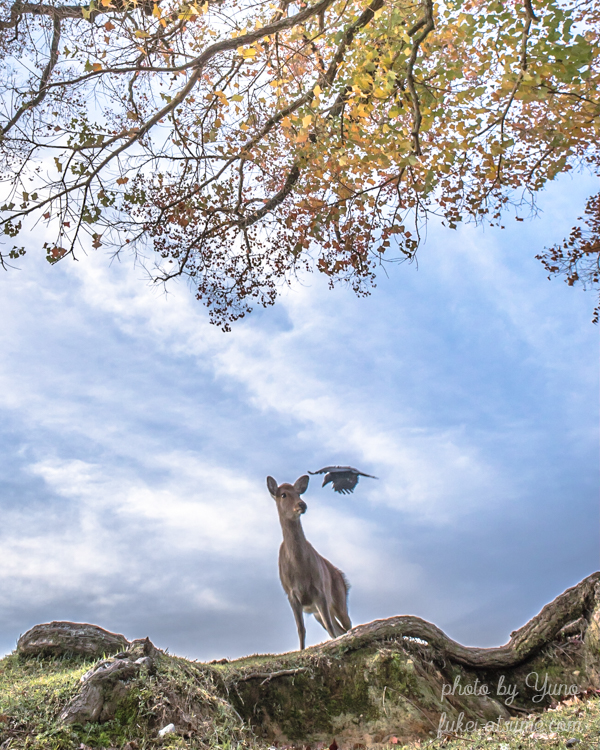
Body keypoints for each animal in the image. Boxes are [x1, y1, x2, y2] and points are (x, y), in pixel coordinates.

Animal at [268, 476, 352, 652]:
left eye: (298, 493)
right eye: (283, 494)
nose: (302, 504)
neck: (300, 571)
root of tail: (341, 576)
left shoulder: (320, 591)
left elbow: (329, 628)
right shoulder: (291, 595)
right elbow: (301, 629)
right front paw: (301, 651)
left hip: (339, 598)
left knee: (346, 625)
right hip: (317, 613)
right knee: (338, 629)